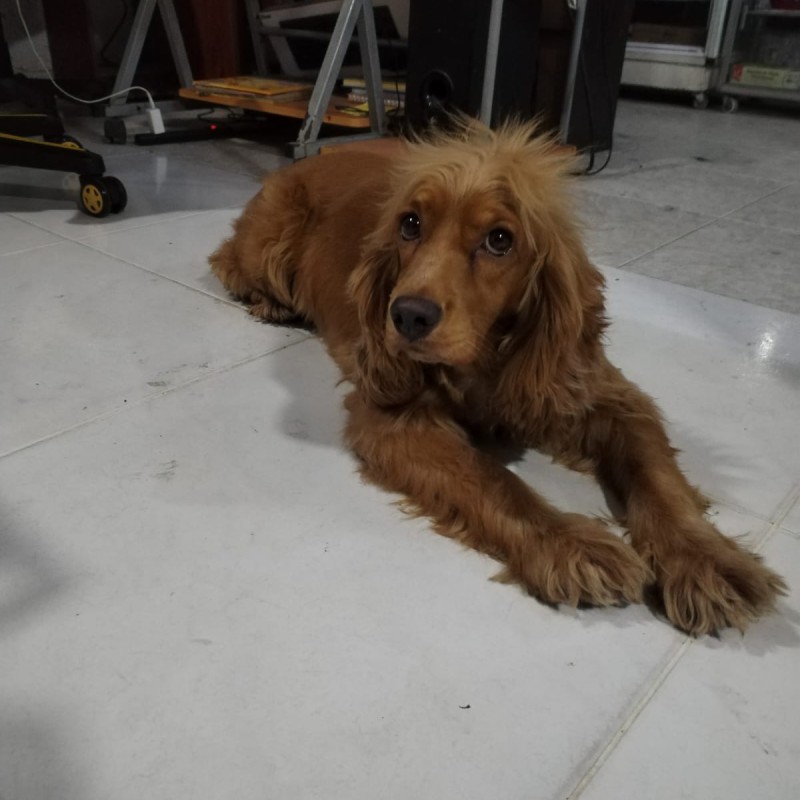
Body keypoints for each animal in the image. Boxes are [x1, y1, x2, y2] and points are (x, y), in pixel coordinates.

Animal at [210, 119, 786, 635]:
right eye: (410, 224)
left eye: (500, 239)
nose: (408, 316)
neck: (483, 360)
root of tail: (307, 157)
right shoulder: (396, 417)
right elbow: (491, 478)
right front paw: (569, 543)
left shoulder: (604, 394)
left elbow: (657, 476)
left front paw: (707, 561)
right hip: (266, 245)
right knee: (228, 263)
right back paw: (272, 305)